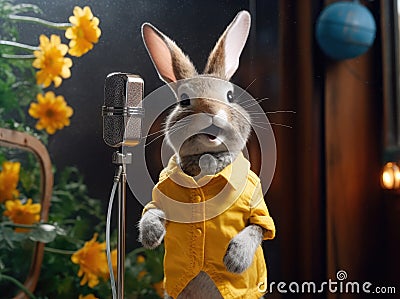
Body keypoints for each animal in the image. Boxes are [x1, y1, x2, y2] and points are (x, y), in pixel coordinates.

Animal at [138, 10, 276, 298]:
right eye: (183, 100)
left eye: (231, 96)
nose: (213, 116)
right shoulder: (161, 198)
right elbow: (151, 212)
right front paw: (151, 236)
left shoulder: (258, 210)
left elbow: (257, 228)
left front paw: (234, 262)